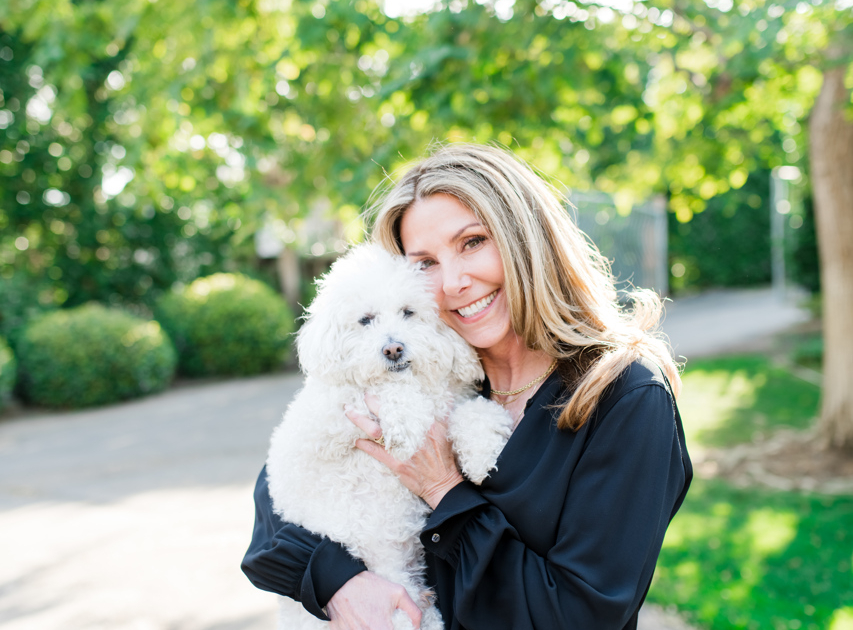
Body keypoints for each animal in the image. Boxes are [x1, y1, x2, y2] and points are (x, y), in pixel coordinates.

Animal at [268, 246, 512, 630]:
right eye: (365, 320)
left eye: (408, 312)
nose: (393, 349)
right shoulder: (321, 423)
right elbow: (376, 393)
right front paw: (405, 421)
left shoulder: (451, 401)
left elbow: (471, 412)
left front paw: (481, 451)